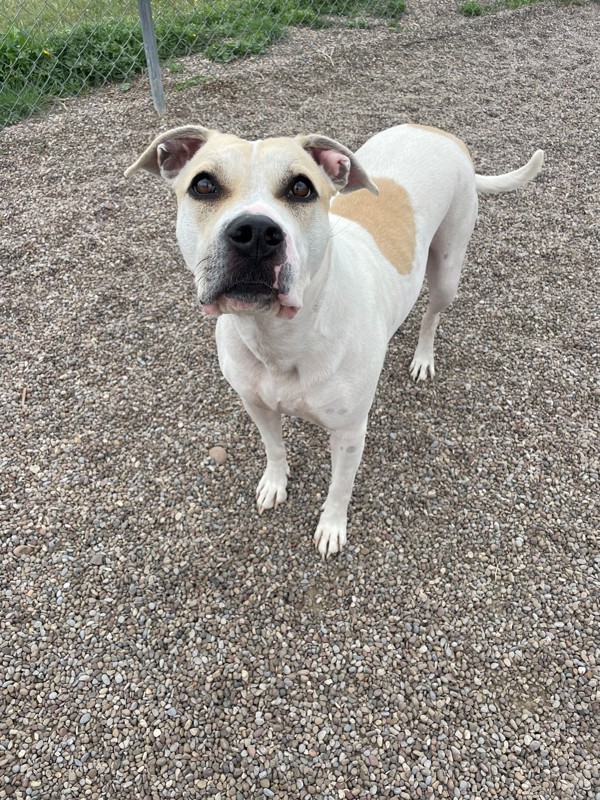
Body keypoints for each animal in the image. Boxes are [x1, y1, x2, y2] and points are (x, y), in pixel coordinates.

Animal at [125, 122, 544, 556]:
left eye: (301, 188)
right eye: (203, 185)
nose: (256, 232)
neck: (280, 337)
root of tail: (436, 131)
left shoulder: (349, 433)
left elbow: (340, 486)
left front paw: (331, 527)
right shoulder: (256, 404)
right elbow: (274, 448)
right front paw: (275, 484)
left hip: (448, 268)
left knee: (432, 314)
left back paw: (423, 357)